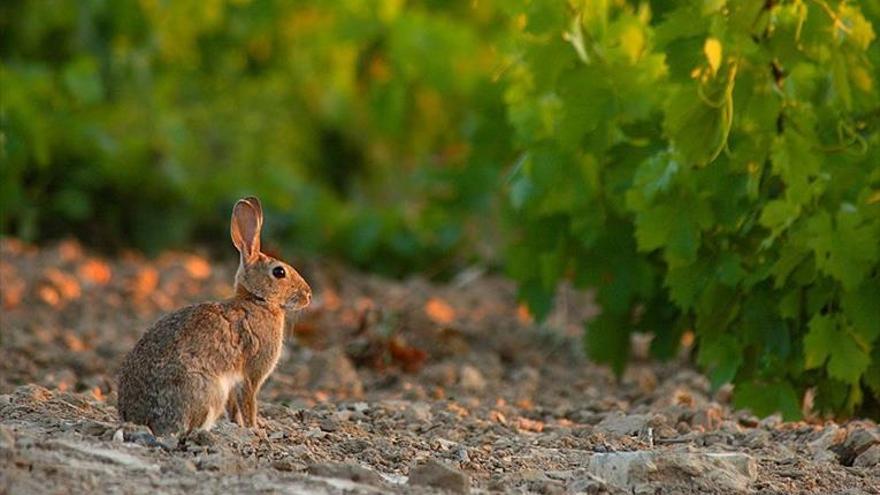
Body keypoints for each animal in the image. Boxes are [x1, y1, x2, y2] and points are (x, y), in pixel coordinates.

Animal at [115, 196, 312, 436]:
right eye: (279, 272)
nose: (308, 295)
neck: (256, 300)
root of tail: (138, 419)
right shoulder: (252, 373)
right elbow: (249, 402)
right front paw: (255, 429)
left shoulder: (235, 381)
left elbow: (235, 407)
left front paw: (240, 425)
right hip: (209, 390)